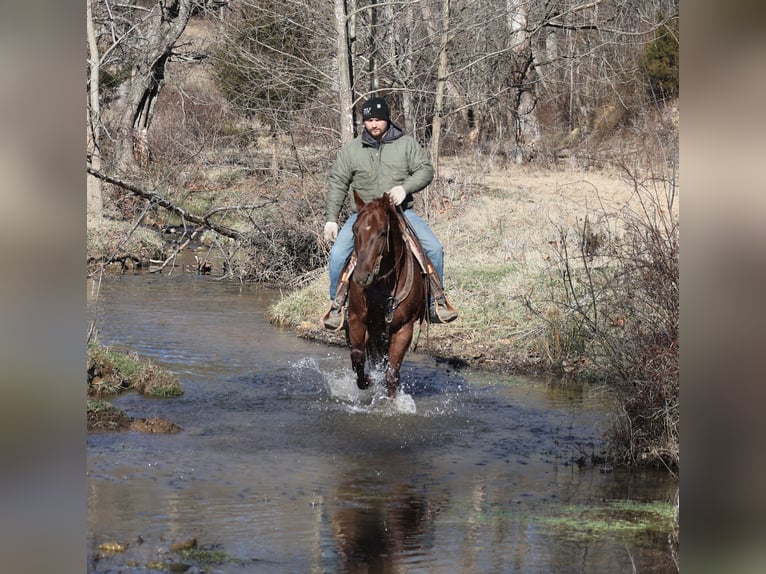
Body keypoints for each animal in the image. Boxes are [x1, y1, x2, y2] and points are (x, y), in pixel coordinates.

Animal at [346, 191, 427, 398]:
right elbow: (357, 357)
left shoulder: (404, 328)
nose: (361, 277)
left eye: (382, 232)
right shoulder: (356, 319)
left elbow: (392, 373)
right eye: (354, 230)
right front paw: (368, 380)